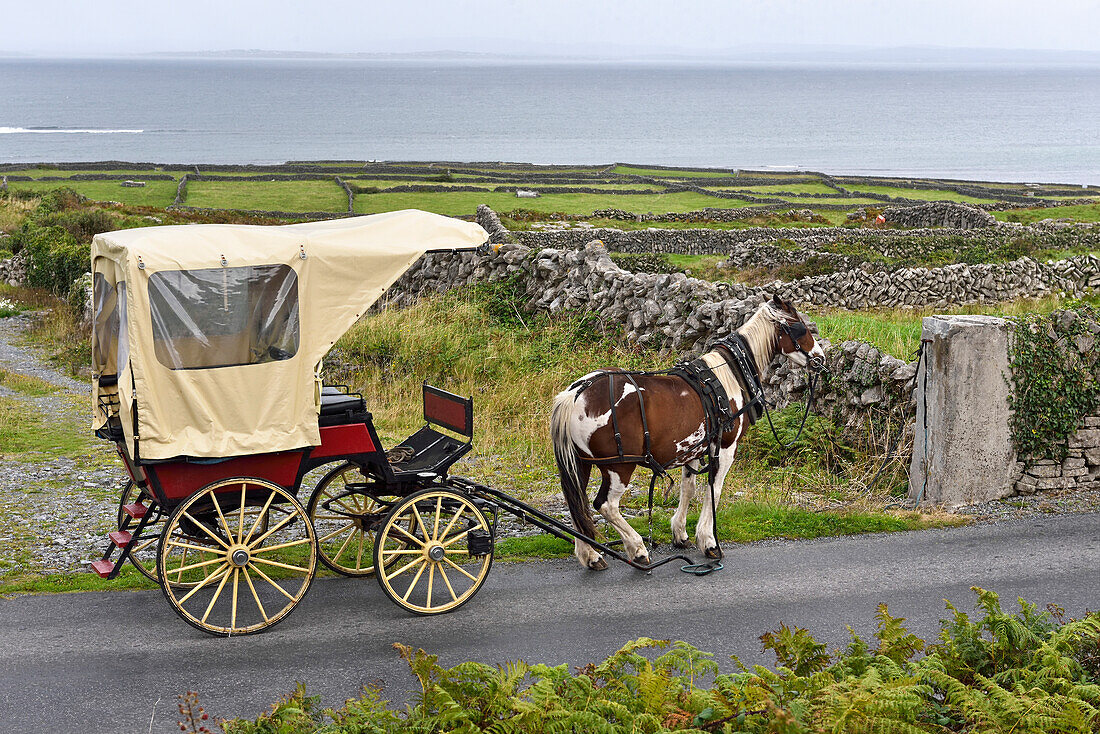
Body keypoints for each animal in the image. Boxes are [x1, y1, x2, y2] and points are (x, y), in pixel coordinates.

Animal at [550, 294, 827, 572]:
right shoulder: (725, 447)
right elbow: (714, 490)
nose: (820, 359)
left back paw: (591, 555)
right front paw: (708, 541)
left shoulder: (693, 448)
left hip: (581, 464)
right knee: (606, 505)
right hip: (619, 466)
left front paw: (680, 533)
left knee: (577, 503)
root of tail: (576, 392)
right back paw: (637, 549)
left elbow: (689, 488)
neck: (728, 376)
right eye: (800, 327)